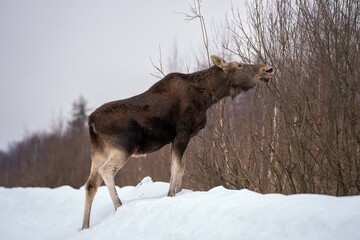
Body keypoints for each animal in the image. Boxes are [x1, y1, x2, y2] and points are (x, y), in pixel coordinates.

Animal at [82, 54, 272, 229]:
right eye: (239, 65)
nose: (268, 69)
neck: (207, 98)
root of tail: (91, 122)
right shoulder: (182, 133)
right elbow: (176, 167)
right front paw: (171, 194)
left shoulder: (182, 137)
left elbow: (181, 167)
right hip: (124, 147)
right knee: (106, 170)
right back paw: (119, 206)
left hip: (99, 151)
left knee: (90, 184)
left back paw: (85, 226)